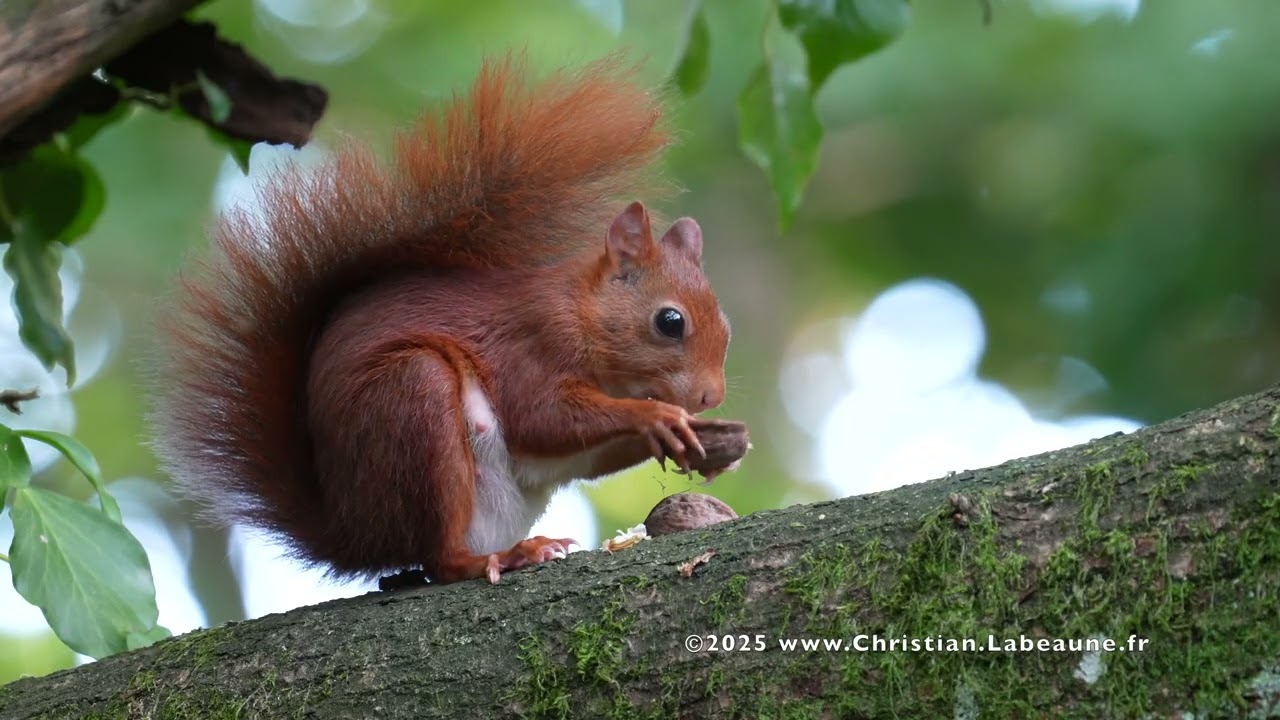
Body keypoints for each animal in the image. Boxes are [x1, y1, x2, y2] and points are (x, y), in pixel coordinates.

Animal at [148, 56, 733, 587]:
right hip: (414, 403)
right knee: (439, 559)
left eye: (726, 329)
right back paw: (498, 558)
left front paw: (700, 445)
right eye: (670, 321)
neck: (584, 312)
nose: (711, 396)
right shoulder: (532, 341)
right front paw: (655, 415)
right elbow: (540, 416)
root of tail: (353, 534)